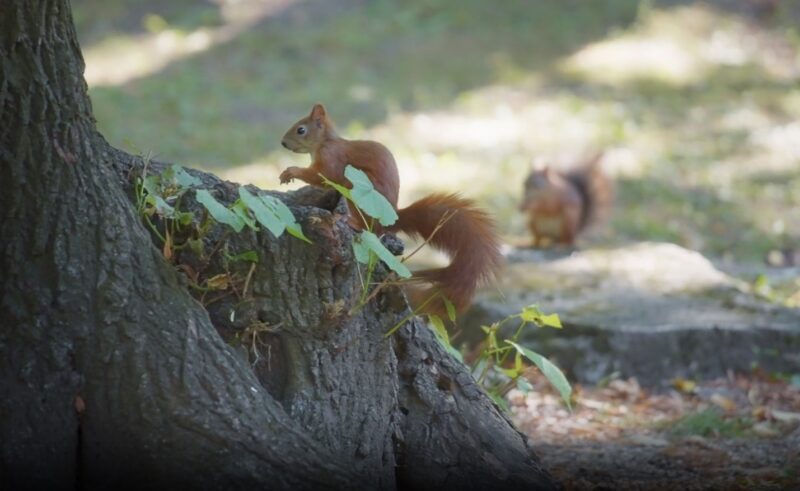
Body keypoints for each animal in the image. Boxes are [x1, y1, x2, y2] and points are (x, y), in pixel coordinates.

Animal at [278, 103, 496, 316]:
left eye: (301, 130)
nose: (283, 143)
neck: (324, 142)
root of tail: (393, 218)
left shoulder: (331, 158)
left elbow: (321, 176)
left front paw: (291, 171)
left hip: (358, 193)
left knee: (369, 227)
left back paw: (349, 221)